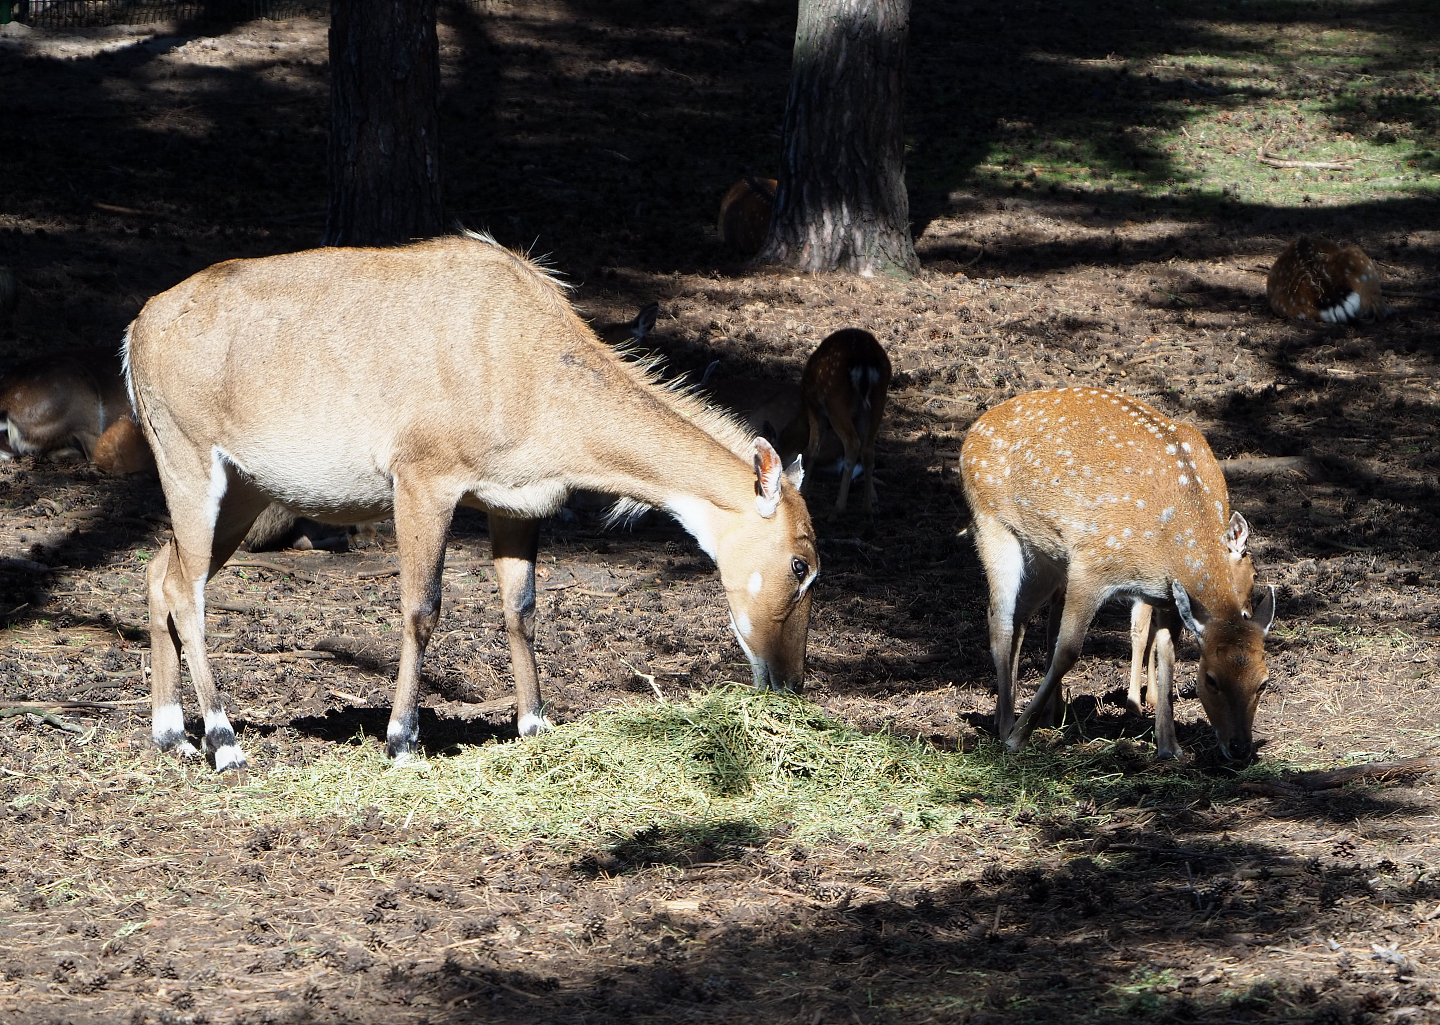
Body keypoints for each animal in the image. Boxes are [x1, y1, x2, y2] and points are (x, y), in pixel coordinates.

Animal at [124, 230, 818, 771]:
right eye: (801, 564)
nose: (789, 682)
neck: (532, 364)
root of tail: (139, 328)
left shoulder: (515, 505)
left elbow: (522, 609)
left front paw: (534, 726)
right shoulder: (424, 482)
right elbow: (421, 608)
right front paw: (402, 740)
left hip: (242, 492)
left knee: (160, 571)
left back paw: (171, 734)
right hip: (190, 465)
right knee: (186, 590)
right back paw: (223, 741)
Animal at [959, 387, 1276, 761]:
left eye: (1264, 681)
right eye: (1211, 679)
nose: (1240, 748)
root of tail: (973, 430)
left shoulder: (1167, 597)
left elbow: (1167, 655)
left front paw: (1170, 747)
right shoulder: (1091, 565)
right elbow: (1068, 651)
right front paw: (1019, 737)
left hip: (1044, 555)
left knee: (1018, 616)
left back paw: (1005, 717)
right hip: (990, 522)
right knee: (1000, 622)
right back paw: (1007, 725)